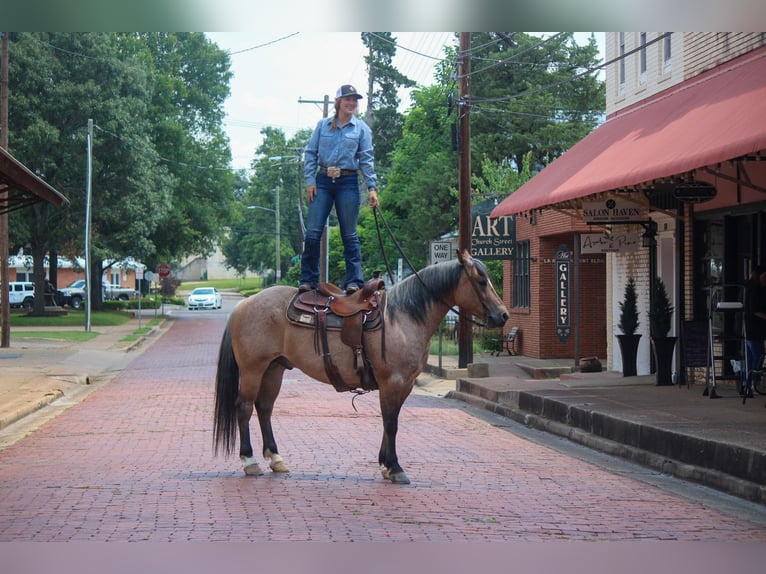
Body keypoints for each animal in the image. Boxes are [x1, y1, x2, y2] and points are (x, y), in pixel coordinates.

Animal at [213, 252, 508, 486]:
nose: (503, 315)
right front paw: (395, 467)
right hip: (253, 370)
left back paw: (275, 458)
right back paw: (250, 461)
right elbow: (391, 423)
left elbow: (390, 421)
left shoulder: (404, 385)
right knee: (244, 408)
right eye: (481, 281)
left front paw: (385, 465)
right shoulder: (393, 382)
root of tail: (244, 305)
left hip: (274, 369)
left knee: (264, 409)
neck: (402, 318)